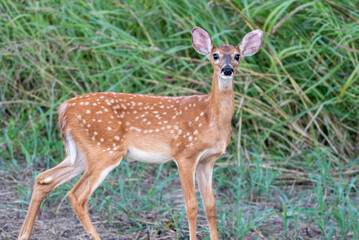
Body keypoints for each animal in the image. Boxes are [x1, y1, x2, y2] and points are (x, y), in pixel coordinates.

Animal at [18, 26, 262, 240]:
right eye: (215, 55)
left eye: (237, 55)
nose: (227, 70)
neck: (210, 118)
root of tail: (64, 109)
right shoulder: (184, 154)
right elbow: (191, 206)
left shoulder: (208, 160)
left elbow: (210, 205)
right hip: (105, 150)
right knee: (76, 195)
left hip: (81, 154)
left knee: (43, 179)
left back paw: (23, 235)